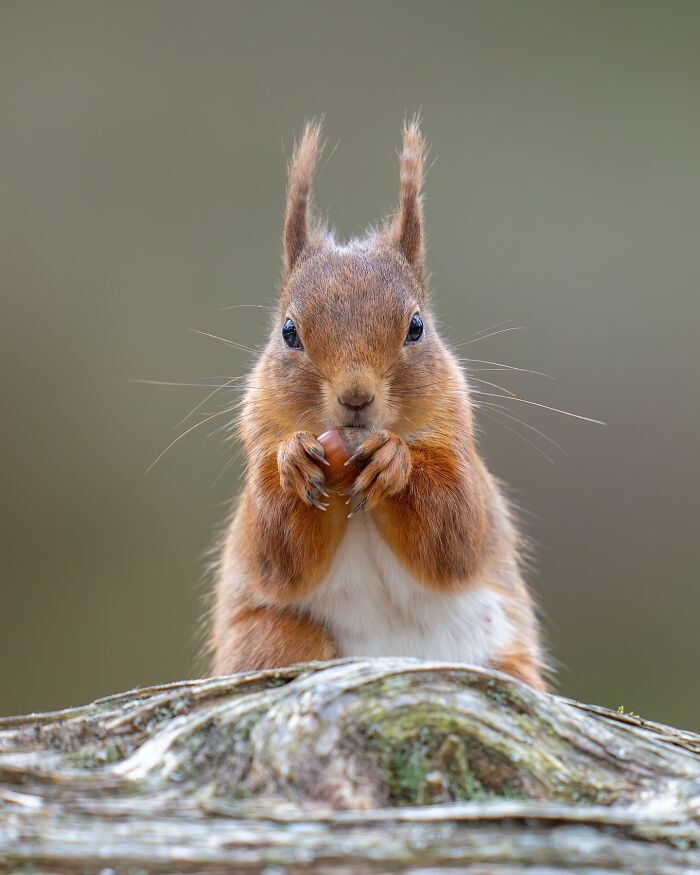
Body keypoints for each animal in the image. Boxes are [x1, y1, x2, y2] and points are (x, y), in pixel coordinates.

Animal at [209, 119, 547, 690]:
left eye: (416, 327)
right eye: (288, 332)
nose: (356, 397)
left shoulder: (459, 451)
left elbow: (455, 533)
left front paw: (395, 461)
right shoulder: (259, 440)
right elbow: (276, 554)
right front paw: (293, 459)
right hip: (272, 636)